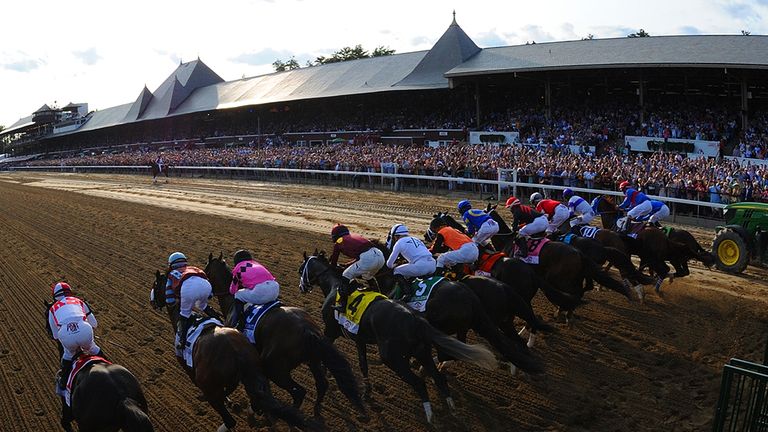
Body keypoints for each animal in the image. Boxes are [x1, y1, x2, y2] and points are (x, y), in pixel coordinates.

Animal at [150, 272, 306, 430]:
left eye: (155, 285)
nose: (152, 302)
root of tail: (236, 352)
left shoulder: (190, 371)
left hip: (212, 388)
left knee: (230, 420)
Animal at [202, 251, 364, 416]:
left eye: (205, 271)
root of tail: (307, 330)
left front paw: (253, 408)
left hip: (275, 367)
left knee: (299, 392)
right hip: (313, 359)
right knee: (322, 385)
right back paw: (316, 412)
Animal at [298, 251, 498, 424]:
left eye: (301, 269)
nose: (301, 286)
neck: (334, 286)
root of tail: (416, 319)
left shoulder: (330, 331)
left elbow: (326, 355)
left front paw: (325, 376)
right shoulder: (359, 339)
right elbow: (363, 365)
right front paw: (367, 391)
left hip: (393, 357)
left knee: (420, 382)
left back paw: (430, 417)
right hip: (422, 350)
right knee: (439, 377)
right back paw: (452, 409)